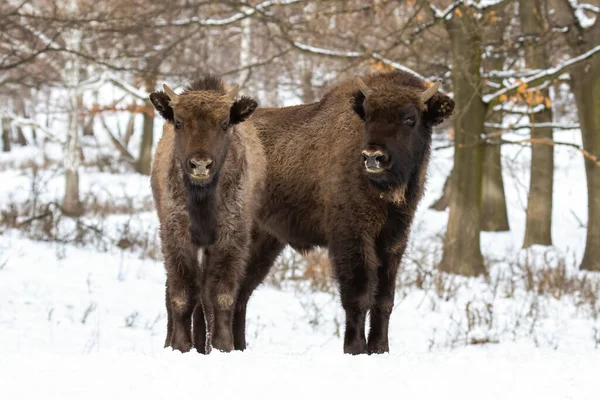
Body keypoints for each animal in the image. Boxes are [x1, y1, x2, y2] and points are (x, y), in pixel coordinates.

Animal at [149, 76, 264, 354]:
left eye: (224, 124)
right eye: (179, 122)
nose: (200, 165)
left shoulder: (230, 239)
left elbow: (221, 296)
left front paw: (223, 346)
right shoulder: (176, 237)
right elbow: (181, 295)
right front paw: (180, 346)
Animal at [232, 70, 452, 354]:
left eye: (410, 119)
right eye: (368, 116)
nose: (373, 157)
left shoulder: (393, 241)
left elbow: (384, 299)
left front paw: (380, 348)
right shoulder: (351, 237)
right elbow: (358, 296)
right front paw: (355, 348)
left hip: (265, 242)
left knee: (240, 293)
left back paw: (236, 347)